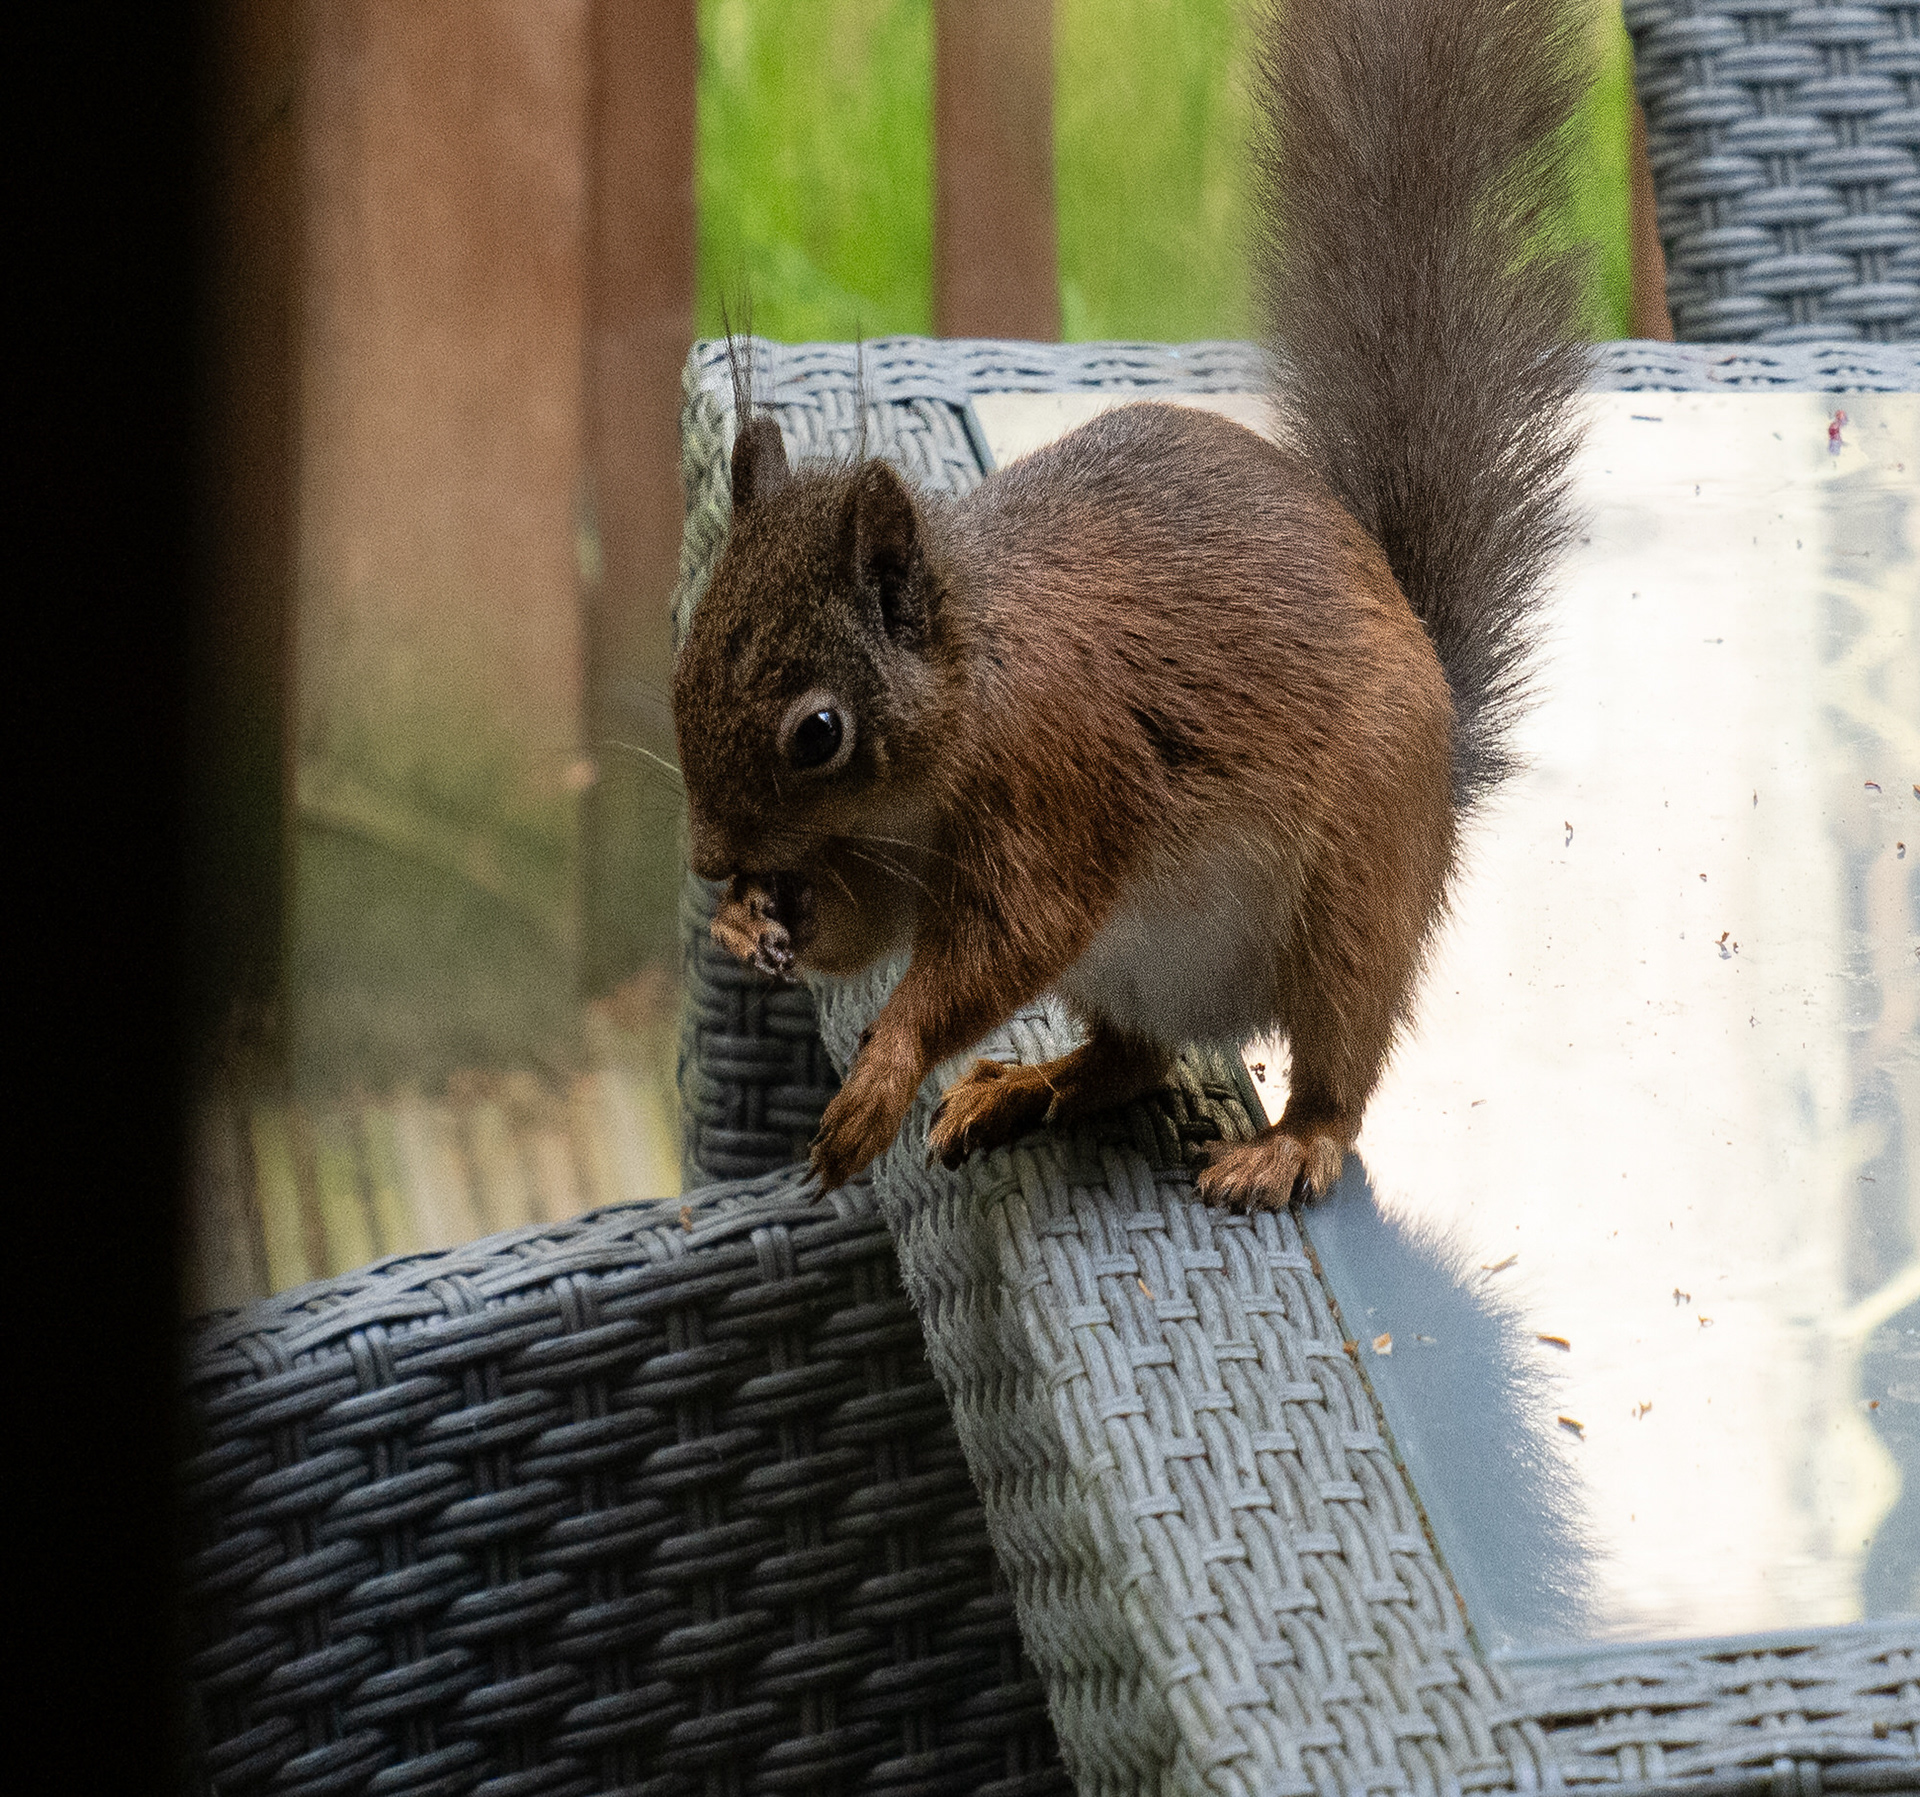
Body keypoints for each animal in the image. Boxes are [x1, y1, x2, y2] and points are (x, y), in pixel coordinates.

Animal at [673, 0, 1592, 1206]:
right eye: (682, 671)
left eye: (818, 732)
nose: (710, 859)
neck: (963, 706)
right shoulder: (892, 862)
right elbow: (866, 937)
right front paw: (750, 924)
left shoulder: (1058, 783)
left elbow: (1001, 948)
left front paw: (881, 1078)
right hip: (1130, 969)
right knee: (1134, 1059)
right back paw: (1032, 1083)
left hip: (1351, 897)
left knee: (1337, 1060)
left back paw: (1289, 1142)